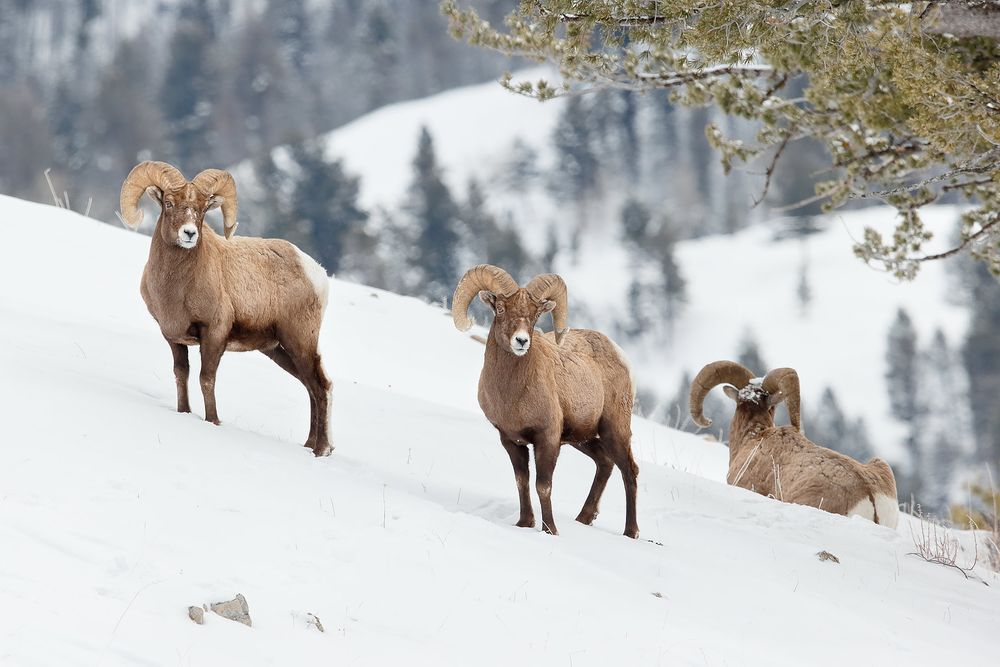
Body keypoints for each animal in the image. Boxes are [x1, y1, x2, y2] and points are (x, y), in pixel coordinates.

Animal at [118, 160, 333, 456]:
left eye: (202, 209)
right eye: (169, 203)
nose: (189, 234)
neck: (177, 287)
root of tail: (317, 273)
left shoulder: (214, 334)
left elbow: (206, 379)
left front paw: (213, 421)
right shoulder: (174, 337)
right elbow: (181, 375)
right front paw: (184, 412)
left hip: (299, 342)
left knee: (320, 387)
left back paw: (321, 450)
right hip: (279, 350)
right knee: (310, 387)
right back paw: (310, 445)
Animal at [452, 264, 639, 538]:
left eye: (535, 315)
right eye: (500, 308)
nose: (521, 341)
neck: (512, 395)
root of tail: (620, 354)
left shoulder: (547, 438)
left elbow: (543, 486)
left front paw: (550, 531)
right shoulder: (511, 440)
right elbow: (522, 482)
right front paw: (524, 523)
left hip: (614, 431)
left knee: (629, 471)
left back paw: (630, 532)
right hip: (582, 439)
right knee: (605, 463)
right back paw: (584, 518)